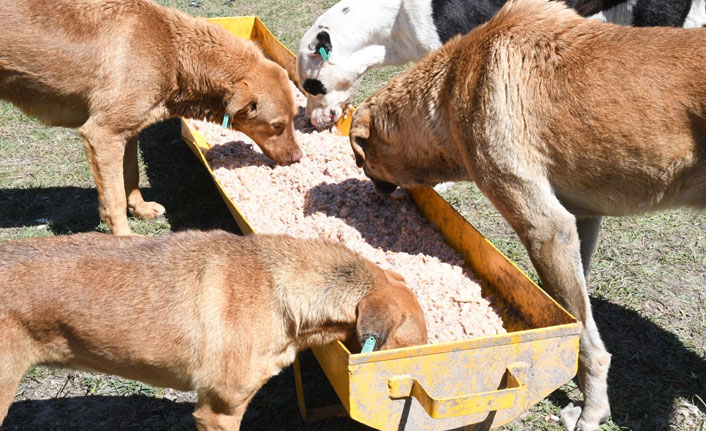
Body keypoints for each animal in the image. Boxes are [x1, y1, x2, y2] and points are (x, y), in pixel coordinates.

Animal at [0, 0, 300, 236]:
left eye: (295, 118)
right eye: (277, 125)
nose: (298, 158)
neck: (174, 53)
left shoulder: (128, 130)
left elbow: (131, 175)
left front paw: (140, 208)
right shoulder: (102, 134)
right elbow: (114, 201)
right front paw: (124, 238)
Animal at [346, 0, 704, 431]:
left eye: (361, 160)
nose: (371, 194)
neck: (452, 85)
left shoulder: (547, 231)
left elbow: (585, 339)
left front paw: (592, 412)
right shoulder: (579, 222)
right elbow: (576, 315)